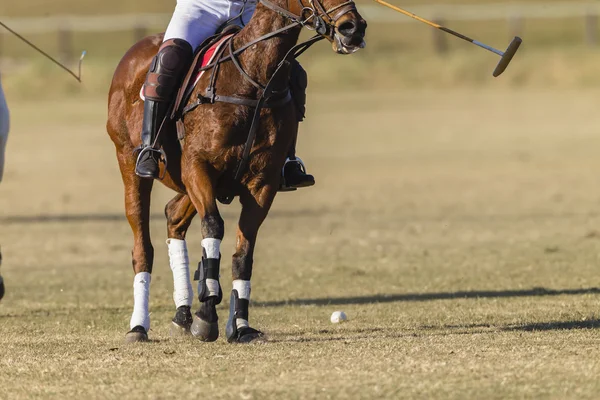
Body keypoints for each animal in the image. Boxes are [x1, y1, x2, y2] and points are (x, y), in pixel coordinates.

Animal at [108, 0, 368, 344]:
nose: (354, 28)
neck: (254, 81)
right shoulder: (198, 166)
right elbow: (214, 227)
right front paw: (207, 316)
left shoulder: (263, 183)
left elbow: (244, 252)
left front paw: (240, 325)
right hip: (130, 163)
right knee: (143, 246)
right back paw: (139, 326)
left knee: (173, 218)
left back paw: (181, 314)